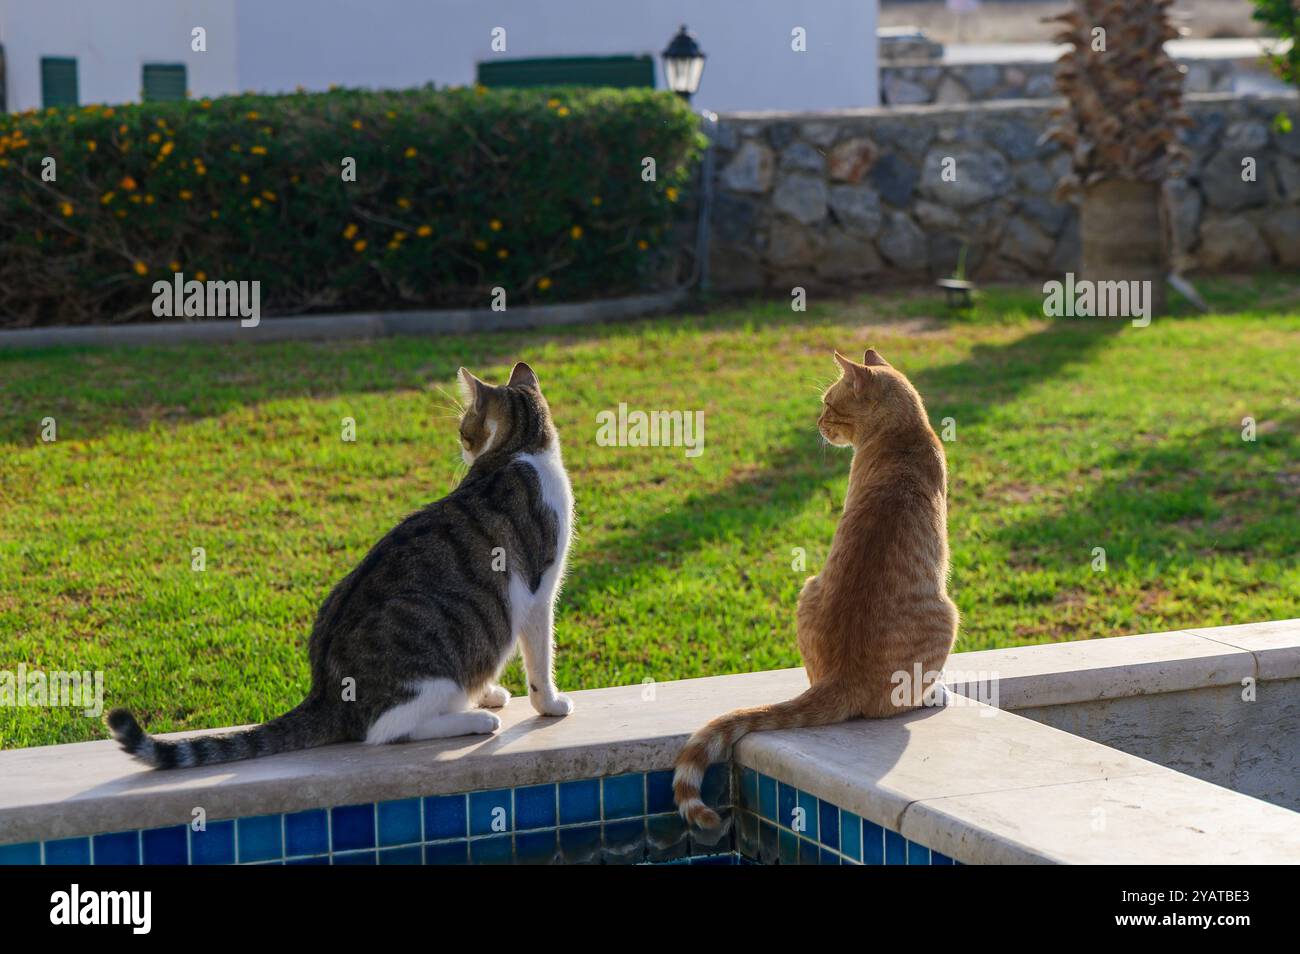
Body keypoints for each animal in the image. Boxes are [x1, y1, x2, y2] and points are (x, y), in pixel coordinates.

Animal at [109, 361, 577, 769]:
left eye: (464, 432)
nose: (462, 449)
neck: (519, 448)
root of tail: (325, 690)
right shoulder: (538, 592)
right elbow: (539, 661)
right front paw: (549, 704)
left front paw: (490, 692)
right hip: (432, 667)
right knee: (385, 730)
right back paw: (474, 720)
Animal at [676, 350, 961, 831]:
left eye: (829, 403)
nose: (818, 422)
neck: (903, 434)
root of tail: (840, 678)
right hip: (948, 614)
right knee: (893, 707)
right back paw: (931, 696)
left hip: (808, 589)